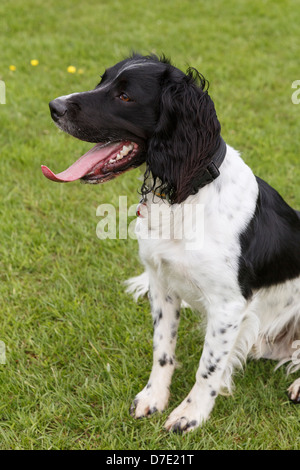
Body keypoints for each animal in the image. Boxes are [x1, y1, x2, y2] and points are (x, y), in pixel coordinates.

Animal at [42, 54, 300, 434]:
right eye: (102, 81)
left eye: (125, 96)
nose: (54, 106)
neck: (187, 194)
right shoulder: (162, 284)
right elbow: (162, 350)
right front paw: (154, 397)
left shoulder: (228, 307)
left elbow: (208, 368)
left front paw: (191, 414)